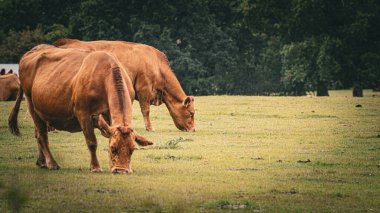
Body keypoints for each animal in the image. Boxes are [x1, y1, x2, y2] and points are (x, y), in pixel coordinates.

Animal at [7, 45, 153, 173]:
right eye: (113, 148)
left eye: (132, 149)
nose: (121, 170)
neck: (104, 76)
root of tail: (31, 52)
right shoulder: (83, 113)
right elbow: (92, 142)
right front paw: (95, 167)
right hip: (31, 104)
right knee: (42, 135)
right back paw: (52, 163)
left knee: (37, 133)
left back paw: (41, 162)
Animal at [53, 38, 196, 131]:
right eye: (191, 113)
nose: (193, 129)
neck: (157, 65)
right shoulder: (143, 88)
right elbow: (146, 110)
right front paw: (149, 128)